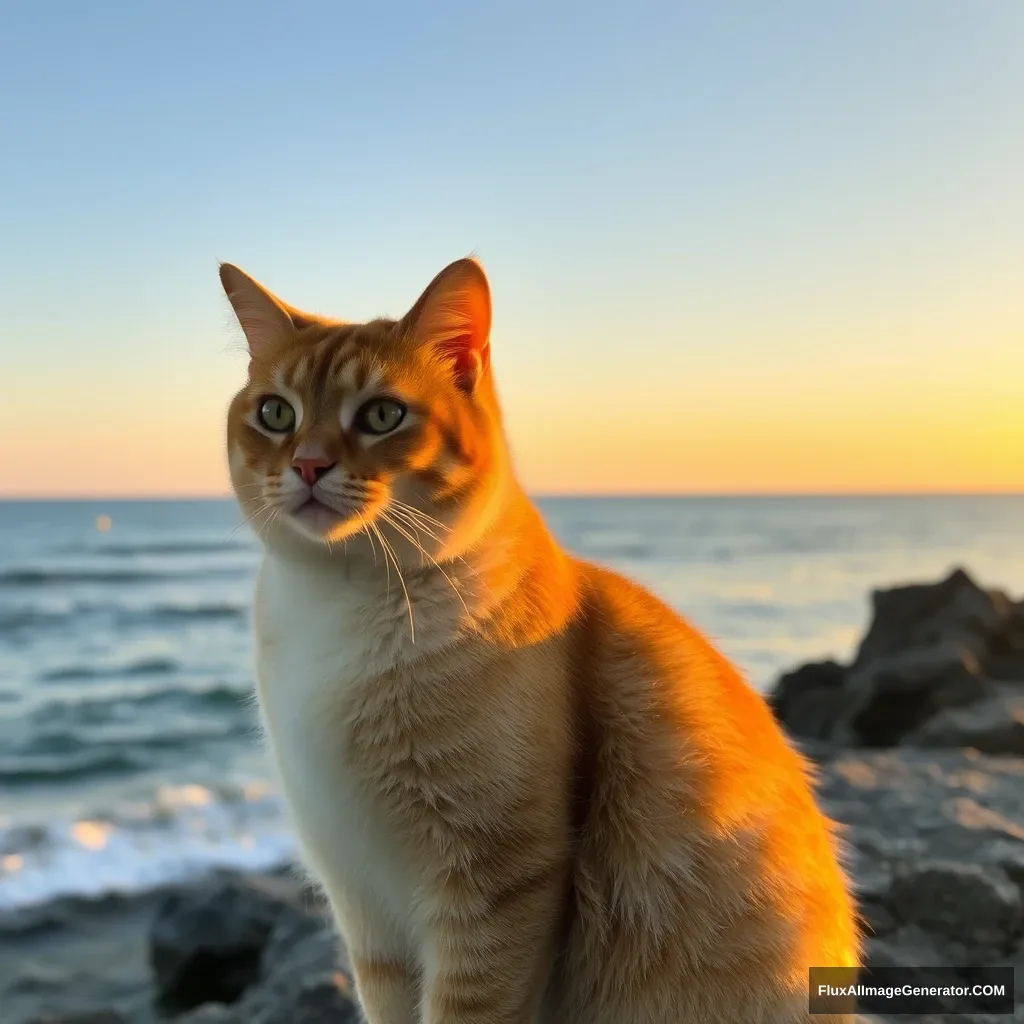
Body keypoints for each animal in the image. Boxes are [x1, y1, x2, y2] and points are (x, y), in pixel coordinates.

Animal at [222, 256, 856, 1024]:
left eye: (381, 415)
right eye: (275, 413)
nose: (309, 465)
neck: (341, 609)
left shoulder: (495, 885)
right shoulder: (364, 907)